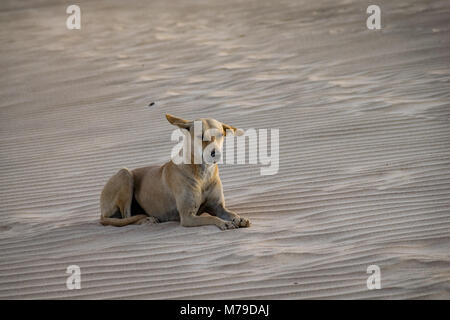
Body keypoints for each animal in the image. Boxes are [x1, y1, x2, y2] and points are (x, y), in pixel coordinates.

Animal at [99, 114, 251, 230]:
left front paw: (239, 219)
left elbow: (231, 213)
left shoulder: (218, 207)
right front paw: (224, 223)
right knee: (126, 217)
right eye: (201, 136)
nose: (216, 154)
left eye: (220, 135)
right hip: (124, 174)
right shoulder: (187, 217)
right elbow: (212, 218)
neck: (202, 173)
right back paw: (146, 220)